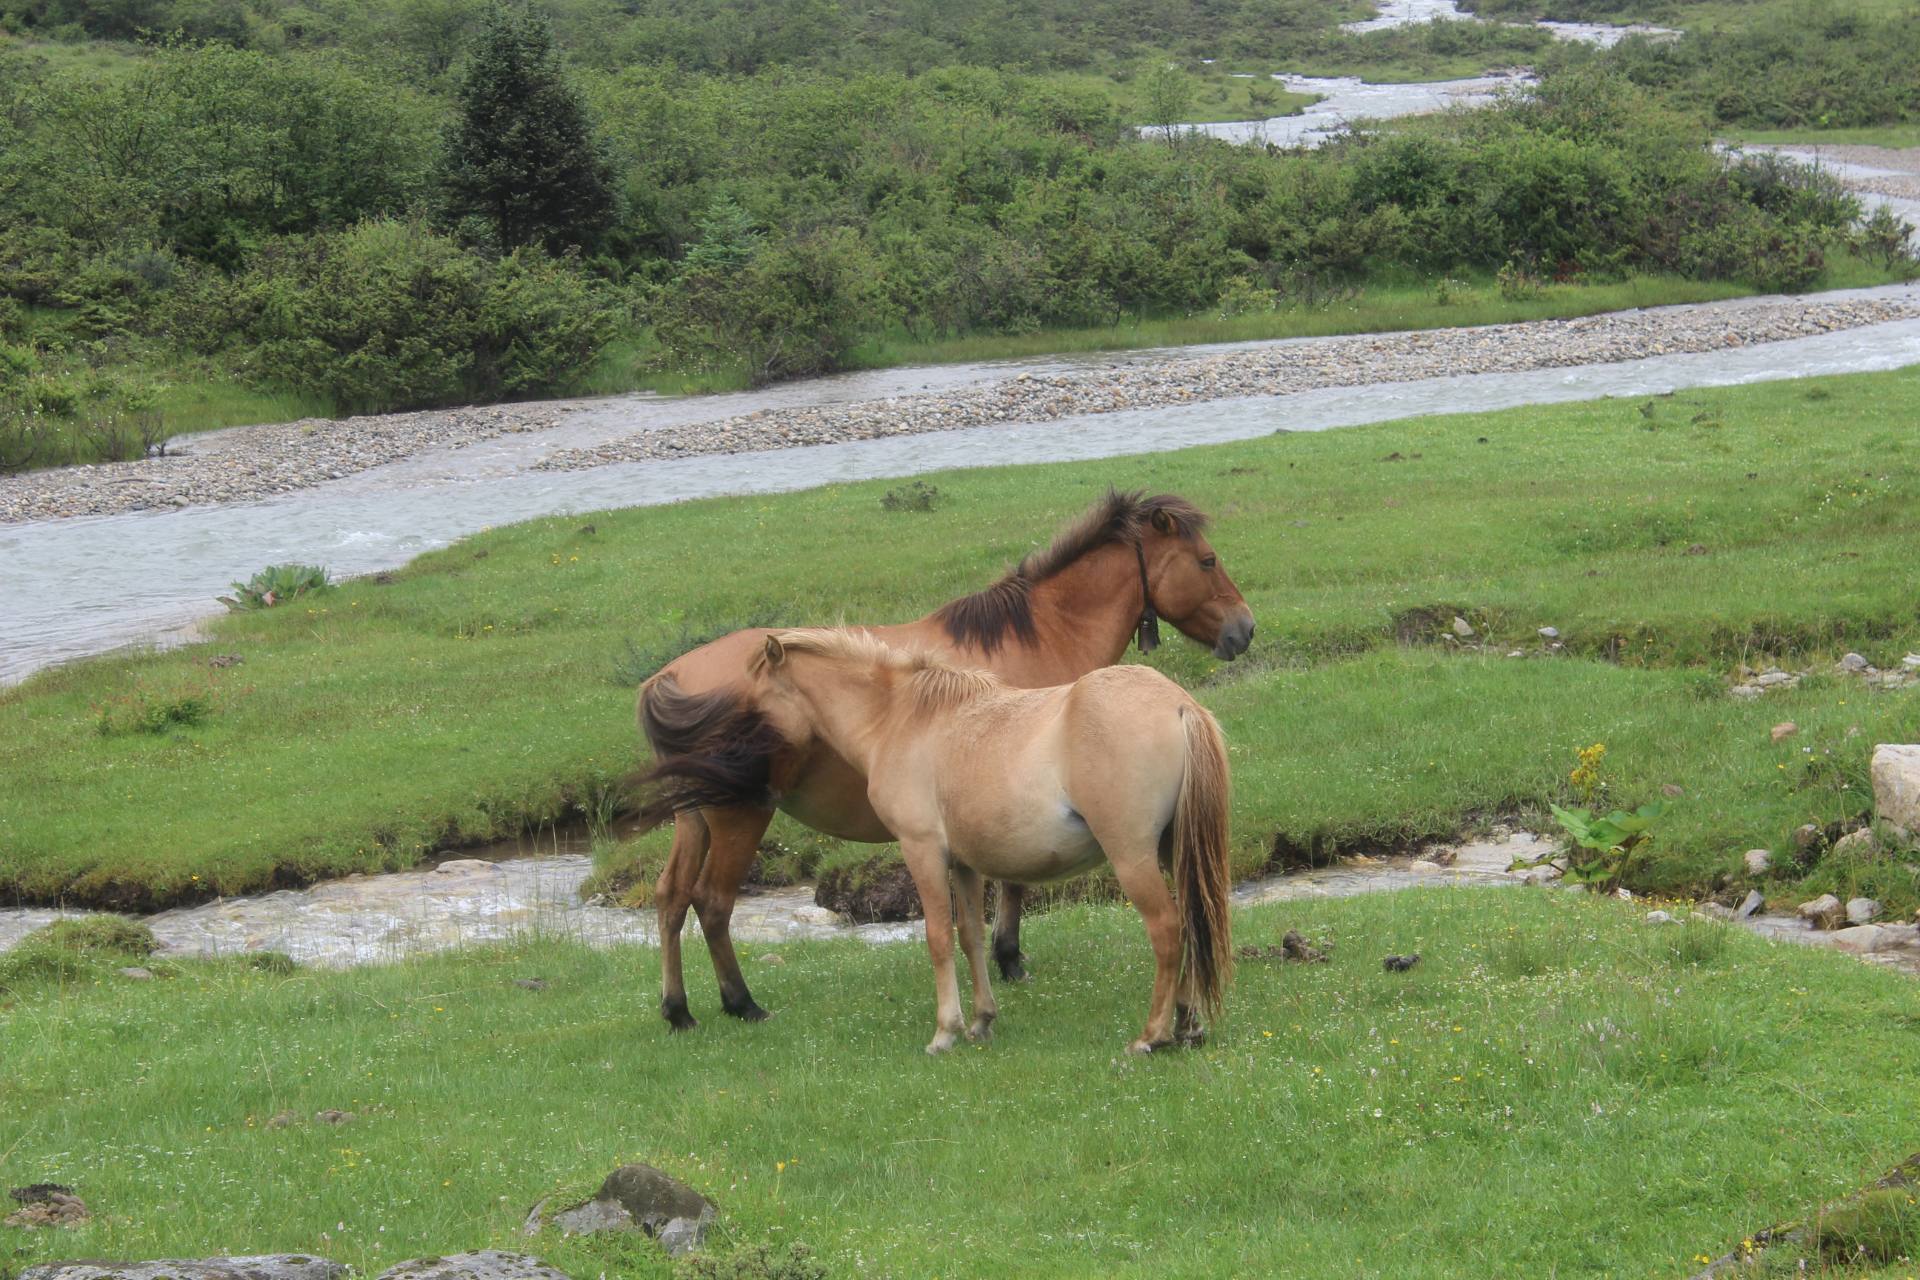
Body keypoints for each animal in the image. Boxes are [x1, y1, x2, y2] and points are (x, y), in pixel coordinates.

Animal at [748, 625, 1228, 1059]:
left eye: (754, 709)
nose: (753, 783)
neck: (900, 720)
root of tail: (1178, 704)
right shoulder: (964, 863)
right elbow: (971, 936)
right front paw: (981, 1021)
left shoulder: (922, 851)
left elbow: (939, 937)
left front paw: (945, 1032)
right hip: (1171, 851)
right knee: (1192, 919)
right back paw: (1187, 1025)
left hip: (1131, 856)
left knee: (1167, 928)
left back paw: (1152, 1035)